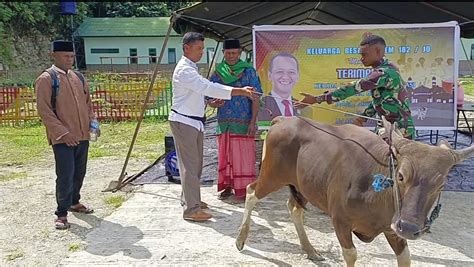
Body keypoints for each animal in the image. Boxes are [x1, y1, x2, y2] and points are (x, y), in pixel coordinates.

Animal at [236, 116, 474, 267]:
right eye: (401, 176)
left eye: (441, 184)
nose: (409, 227)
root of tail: (282, 120)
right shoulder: (340, 221)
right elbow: (351, 254)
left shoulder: (392, 229)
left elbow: (405, 258)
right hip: (272, 176)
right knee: (251, 192)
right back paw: (240, 239)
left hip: (303, 185)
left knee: (294, 208)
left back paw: (310, 250)